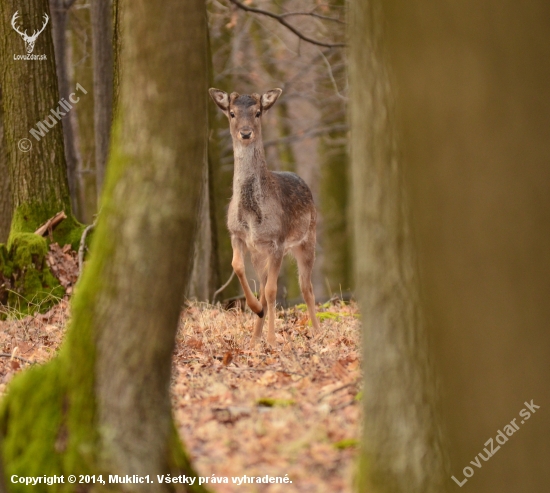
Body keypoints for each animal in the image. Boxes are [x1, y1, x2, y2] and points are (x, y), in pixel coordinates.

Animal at [211, 86, 324, 344]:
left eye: (258, 112)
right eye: (232, 113)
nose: (245, 133)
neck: (252, 217)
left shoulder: (278, 242)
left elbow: (273, 292)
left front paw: (272, 340)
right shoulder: (237, 234)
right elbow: (237, 266)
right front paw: (256, 313)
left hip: (308, 239)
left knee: (307, 288)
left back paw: (315, 331)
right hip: (260, 254)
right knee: (263, 286)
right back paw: (255, 337)